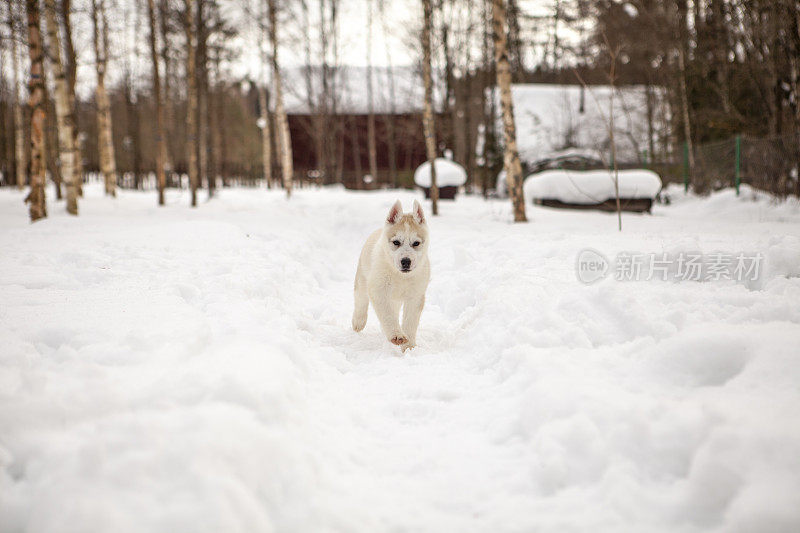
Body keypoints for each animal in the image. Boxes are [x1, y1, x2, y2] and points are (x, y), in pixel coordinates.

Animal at [354, 200, 432, 350]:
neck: (400, 276)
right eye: (396, 242)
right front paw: (397, 336)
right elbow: (387, 314)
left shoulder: (415, 296)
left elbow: (410, 322)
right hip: (362, 280)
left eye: (416, 243)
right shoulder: (379, 291)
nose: (406, 261)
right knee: (360, 300)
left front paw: (409, 347)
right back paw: (358, 322)